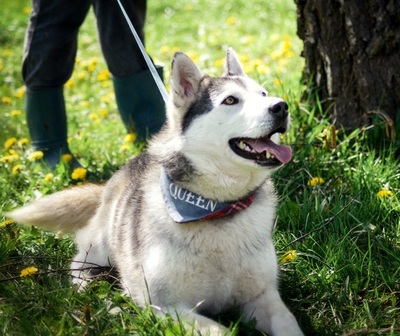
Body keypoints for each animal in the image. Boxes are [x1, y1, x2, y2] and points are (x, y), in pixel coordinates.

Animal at [8, 48, 304, 334]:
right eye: (231, 100)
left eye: (263, 93)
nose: (281, 106)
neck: (216, 208)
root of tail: (126, 168)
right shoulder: (166, 306)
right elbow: (221, 331)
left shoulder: (262, 296)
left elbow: (288, 323)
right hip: (102, 246)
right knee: (80, 261)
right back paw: (90, 289)